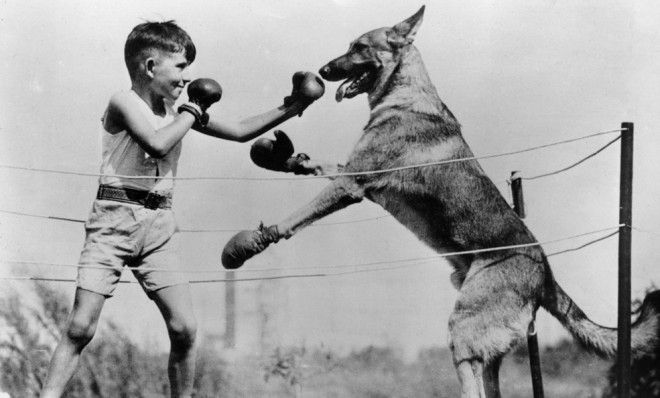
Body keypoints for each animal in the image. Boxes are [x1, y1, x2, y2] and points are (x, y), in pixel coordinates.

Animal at [222, 5, 660, 394]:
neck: (404, 95)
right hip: (483, 345)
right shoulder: (351, 173)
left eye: (359, 47)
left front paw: (257, 240)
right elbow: (312, 166)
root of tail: (546, 273)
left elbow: (295, 218)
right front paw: (285, 159)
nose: (324, 71)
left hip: (463, 333)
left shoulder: (352, 183)